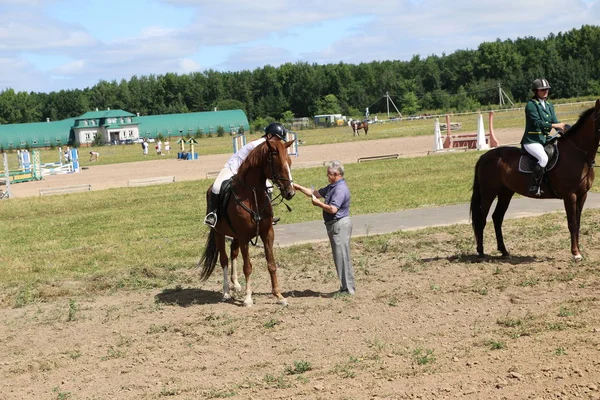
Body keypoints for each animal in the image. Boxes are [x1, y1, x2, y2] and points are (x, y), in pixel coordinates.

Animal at [200, 138, 296, 306]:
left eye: (289, 162)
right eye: (278, 165)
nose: (290, 193)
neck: (252, 195)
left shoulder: (267, 233)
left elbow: (271, 264)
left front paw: (279, 296)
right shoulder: (244, 237)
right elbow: (248, 267)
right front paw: (248, 298)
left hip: (235, 236)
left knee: (233, 253)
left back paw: (236, 284)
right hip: (219, 233)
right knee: (224, 259)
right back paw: (226, 292)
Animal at [472, 100, 596, 260]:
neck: (578, 154)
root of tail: (484, 157)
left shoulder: (582, 195)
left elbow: (578, 223)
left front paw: (578, 251)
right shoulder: (570, 196)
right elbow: (572, 224)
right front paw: (575, 254)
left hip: (505, 192)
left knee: (497, 217)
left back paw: (504, 252)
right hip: (488, 193)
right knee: (482, 218)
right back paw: (481, 252)